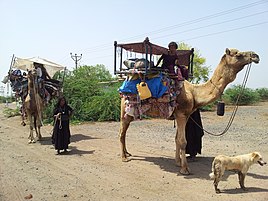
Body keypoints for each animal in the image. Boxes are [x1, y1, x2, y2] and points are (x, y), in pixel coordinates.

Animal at [119, 48, 260, 174]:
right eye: (238, 54)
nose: (255, 56)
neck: (194, 93)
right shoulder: (181, 114)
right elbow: (183, 141)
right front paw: (185, 169)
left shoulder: (184, 115)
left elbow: (177, 139)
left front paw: (177, 162)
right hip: (125, 110)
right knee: (121, 132)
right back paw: (124, 158)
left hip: (130, 113)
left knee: (124, 132)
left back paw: (127, 153)